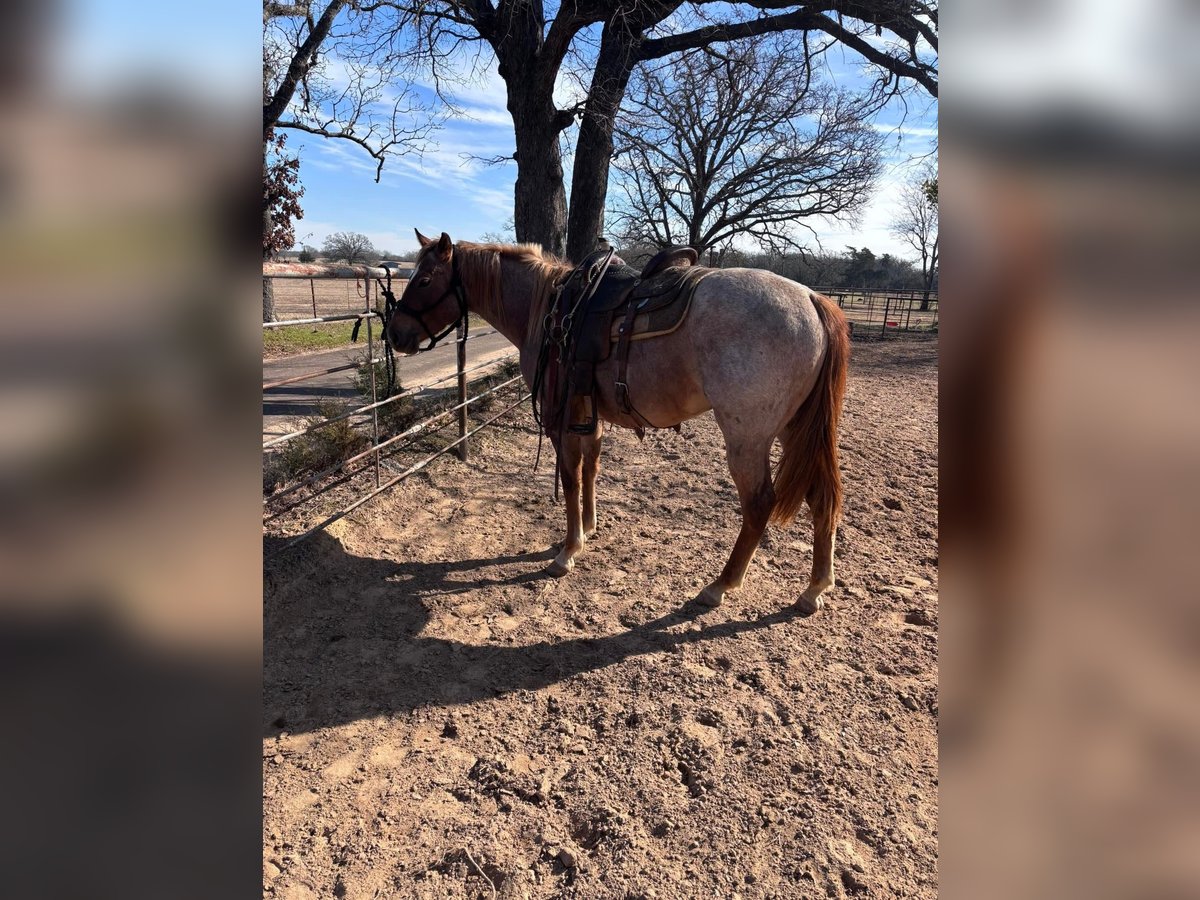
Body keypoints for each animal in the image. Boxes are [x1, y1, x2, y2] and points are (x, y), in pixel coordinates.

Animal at [388, 229, 849, 619]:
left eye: (424, 279)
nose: (395, 334)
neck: (548, 308)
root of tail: (812, 298)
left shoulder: (561, 418)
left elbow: (570, 478)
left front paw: (568, 550)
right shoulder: (587, 416)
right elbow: (591, 470)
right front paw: (588, 528)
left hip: (747, 438)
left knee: (758, 504)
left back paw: (720, 585)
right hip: (796, 430)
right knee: (821, 497)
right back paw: (814, 589)